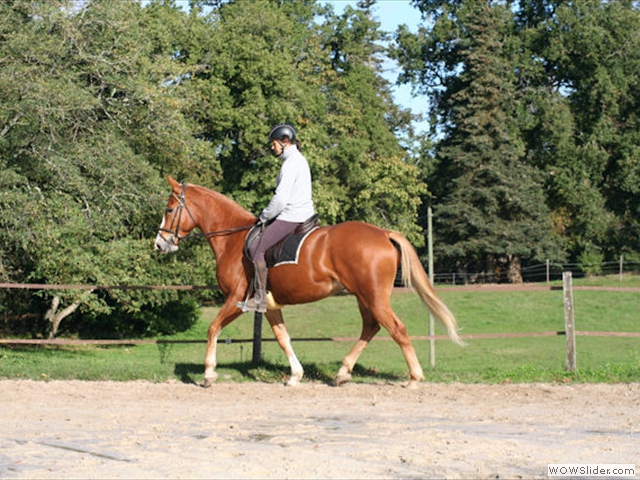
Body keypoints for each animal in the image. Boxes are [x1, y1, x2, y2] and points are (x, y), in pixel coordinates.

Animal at [157, 174, 462, 388]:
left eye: (170, 210)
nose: (160, 244)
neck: (233, 239)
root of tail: (382, 233)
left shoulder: (236, 298)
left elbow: (213, 328)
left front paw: (209, 374)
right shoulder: (269, 305)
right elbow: (283, 337)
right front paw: (295, 375)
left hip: (374, 296)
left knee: (396, 329)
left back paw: (414, 378)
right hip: (363, 297)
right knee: (371, 327)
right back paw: (342, 372)